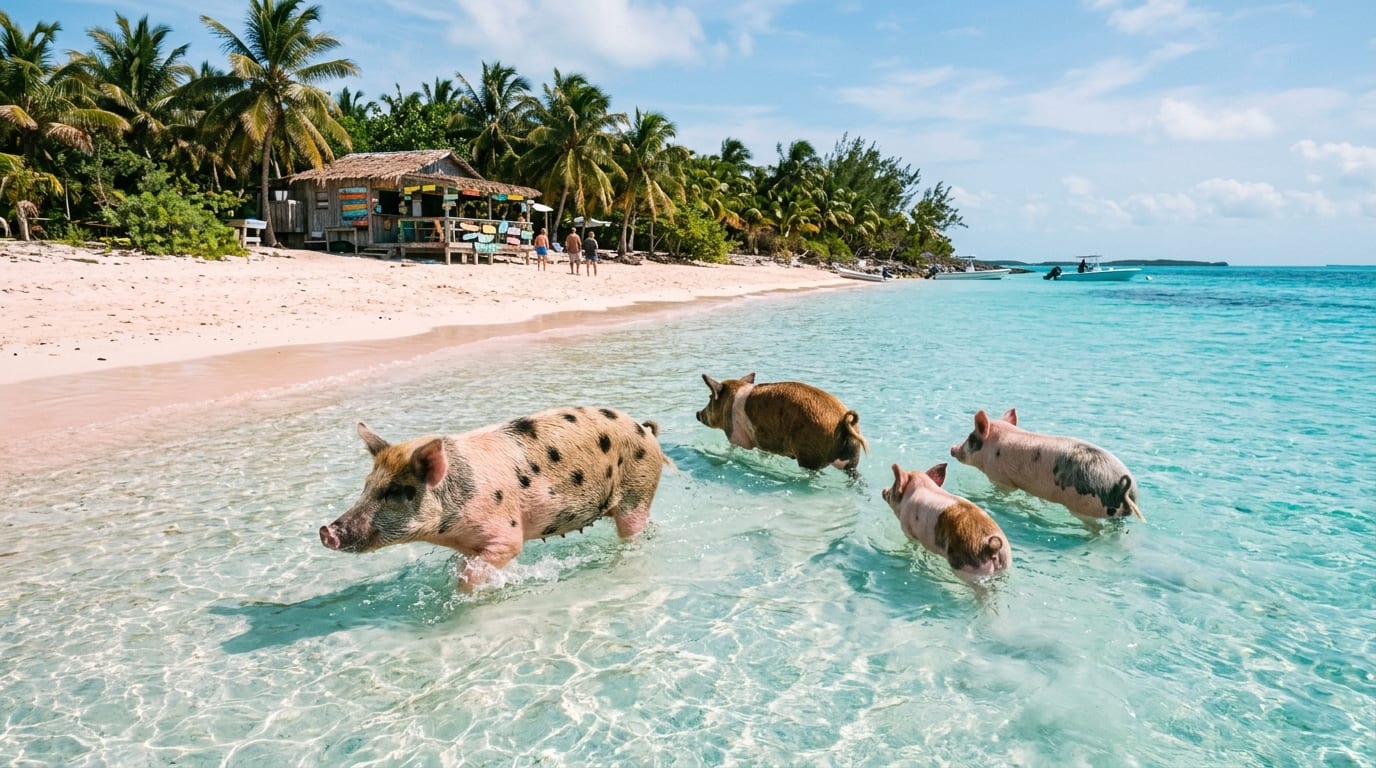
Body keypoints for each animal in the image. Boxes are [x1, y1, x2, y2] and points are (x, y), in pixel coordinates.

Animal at [319, 406, 670, 587]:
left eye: (393, 491)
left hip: (637, 492)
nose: (327, 531)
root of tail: (646, 430)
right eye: (366, 485)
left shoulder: (505, 534)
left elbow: (482, 564)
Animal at [696, 372, 869, 474]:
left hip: (809, 455)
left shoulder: (736, 436)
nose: (697, 414)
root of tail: (843, 422)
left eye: (710, 397)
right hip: (853, 458)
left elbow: (732, 449)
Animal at [882, 462, 1012, 581]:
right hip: (1005, 564)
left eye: (894, 485)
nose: (883, 490)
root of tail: (991, 546)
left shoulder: (908, 529)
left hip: (969, 567)